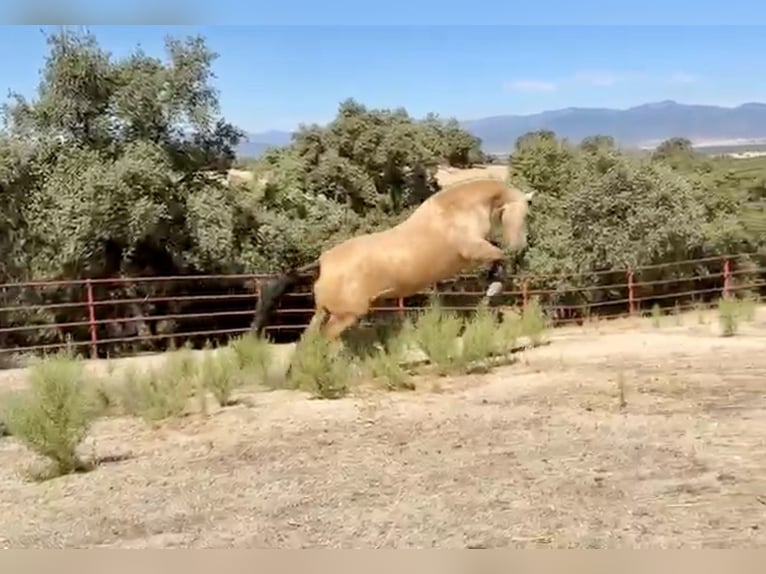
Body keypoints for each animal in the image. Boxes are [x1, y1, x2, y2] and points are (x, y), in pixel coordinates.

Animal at [251, 177, 534, 342]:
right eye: (524, 214)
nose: (521, 245)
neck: (457, 210)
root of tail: (323, 263)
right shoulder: (472, 250)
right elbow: (500, 258)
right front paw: (493, 287)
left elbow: (497, 258)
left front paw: (491, 284)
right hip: (344, 316)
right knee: (323, 341)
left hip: (324, 311)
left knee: (308, 341)